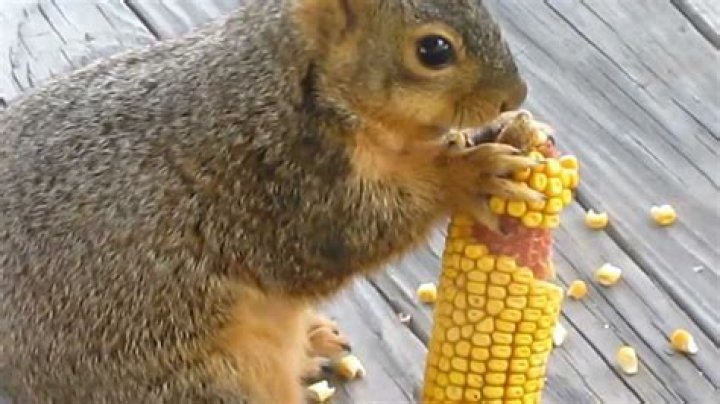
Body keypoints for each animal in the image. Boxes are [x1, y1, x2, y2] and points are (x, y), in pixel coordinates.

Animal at [0, 0, 540, 403]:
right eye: (433, 50)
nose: (515, 96)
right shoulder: (280, 182)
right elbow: (351, 235)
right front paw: (468, 172)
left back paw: (312, 342)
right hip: (202, 382)